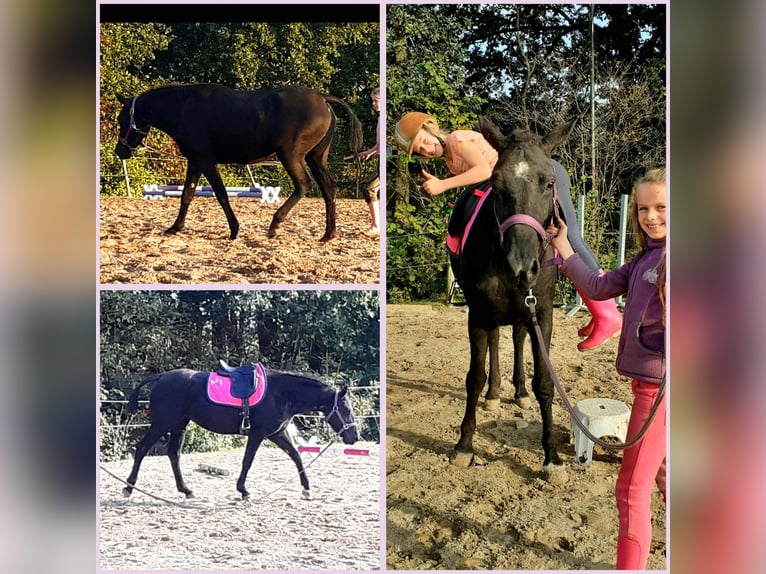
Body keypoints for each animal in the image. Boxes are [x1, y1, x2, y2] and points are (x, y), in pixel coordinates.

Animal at [114, 83, 364, 241]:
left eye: (122, 119)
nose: (120, 151)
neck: (184, 108)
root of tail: (323, 99)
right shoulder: (195, 162)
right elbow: (187, 195)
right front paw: (176, 227)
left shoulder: (205, 161)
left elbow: (221, 195)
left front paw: (234, 230)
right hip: (315, 158)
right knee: (328, 189)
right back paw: (328, 234)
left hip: (291, 156)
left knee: (304, 185)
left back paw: (275, 225)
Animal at [120, 361, 358, 500]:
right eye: (346, 409)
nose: (354, 437)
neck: (281, 393)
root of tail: (160, 377)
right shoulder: (258, 434)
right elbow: (248, 461)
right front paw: (243, 490)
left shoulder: (276, 433)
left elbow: (296, 456)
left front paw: (306, 489)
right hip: (162, 424)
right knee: (142, 449)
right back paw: (128, 488)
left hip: (179, 426)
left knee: (173, 455)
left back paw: (185, 490)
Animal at [448, 116, 576, 480]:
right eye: (496, 183)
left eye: (548, 182)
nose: (520, 265)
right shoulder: (478, 312)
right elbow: (474, 377)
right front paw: (465, 445)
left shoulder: (542, 313)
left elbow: (545, 382)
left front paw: (551, 457)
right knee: (495, 342)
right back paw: (494, 393)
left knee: (518, 338)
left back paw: (518, 390)